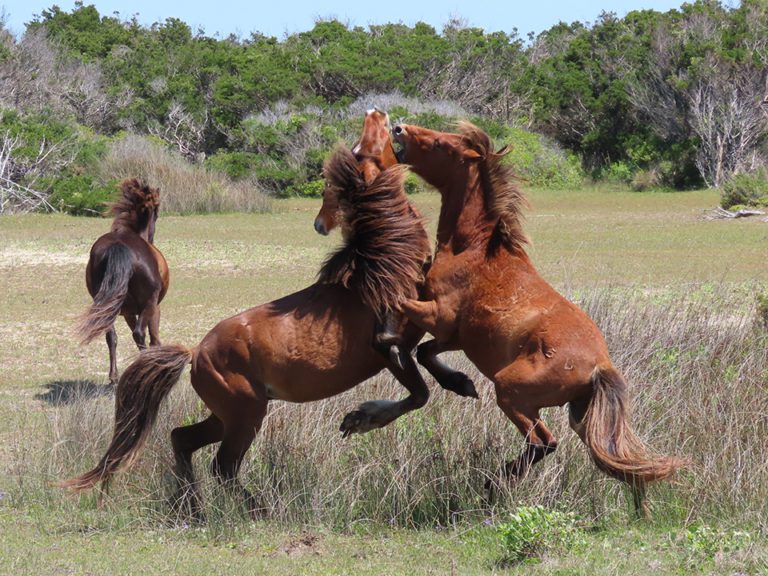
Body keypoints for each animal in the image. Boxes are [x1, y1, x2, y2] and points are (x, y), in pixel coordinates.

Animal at [76, 178, 169, 385]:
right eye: (157, 211)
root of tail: (119, 244)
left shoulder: (127, 312)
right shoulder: (154, 307)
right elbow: (154, 339)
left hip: (107, 306)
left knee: (111, 335)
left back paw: (114, 377)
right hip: (148, 304)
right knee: (140, 335)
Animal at [391, 121, 685, 516]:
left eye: (441, 144)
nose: (398, 128)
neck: (474, 248)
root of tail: (599, 366)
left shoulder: (437, 316)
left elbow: (407, 320)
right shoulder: (455, 336)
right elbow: (424, 352)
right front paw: (460, 383)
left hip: (510, 393)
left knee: (544, 442)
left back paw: (493, 483)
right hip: (582, 418)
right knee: (615, 459)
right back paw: (640, 511)